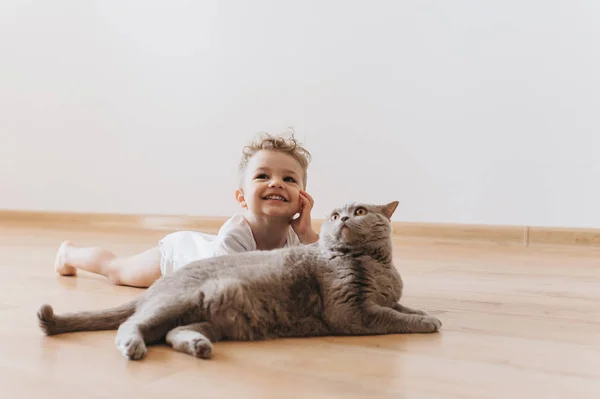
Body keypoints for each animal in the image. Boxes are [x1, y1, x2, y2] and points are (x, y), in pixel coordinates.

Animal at [37, 202, 440, 360]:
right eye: (335, 214)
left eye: (359, 211)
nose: (341, 218)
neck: (378, 265)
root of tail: (156, 288)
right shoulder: (352, 311)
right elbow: (393, 317)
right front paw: (428, 321)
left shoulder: (383, 297)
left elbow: (400, 305)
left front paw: (422, 310)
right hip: (176, 301)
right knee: (130, 324)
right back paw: (133, 346)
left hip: (214, 317)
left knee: (171, 333)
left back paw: (198, 346)